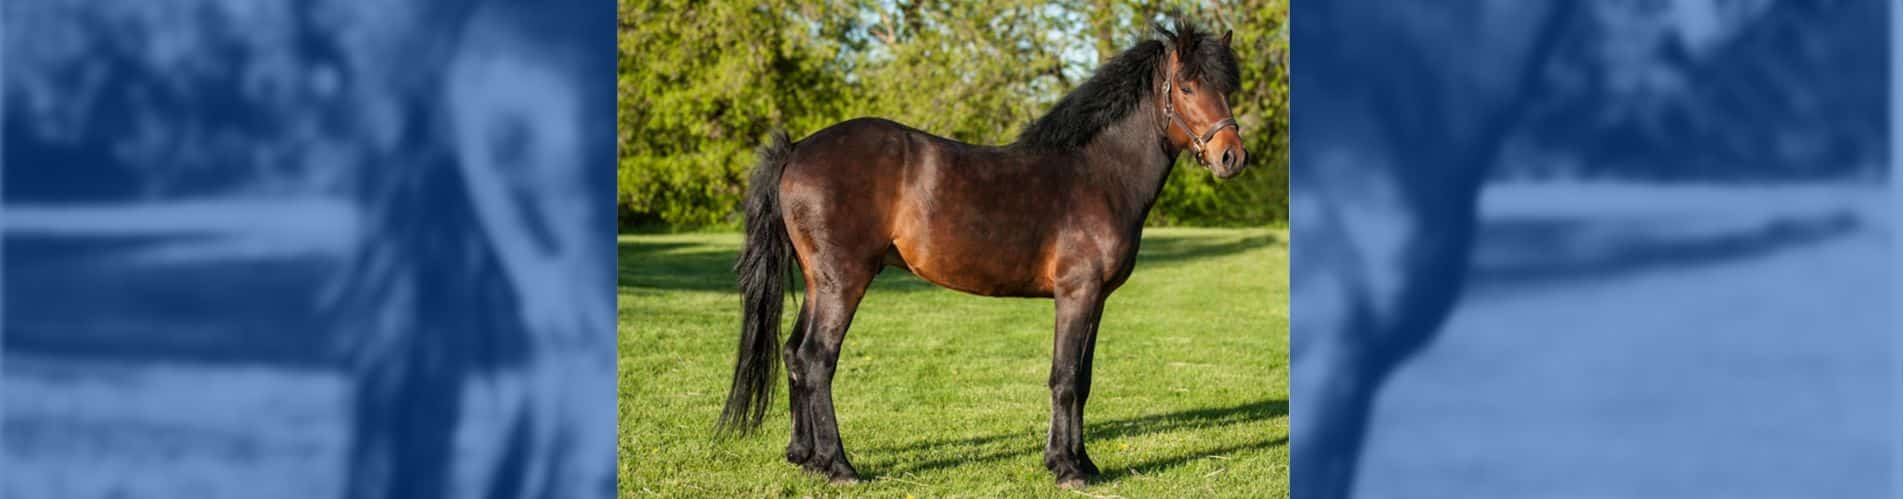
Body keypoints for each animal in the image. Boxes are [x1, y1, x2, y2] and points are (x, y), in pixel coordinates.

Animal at [715, 23, 1247, 489]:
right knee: (817, 358)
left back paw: (804, 458)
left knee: (792, 354)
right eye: (1187, 86)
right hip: (843, 282)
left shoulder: (1097, 300)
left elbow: (1083, 379)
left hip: (817, 282)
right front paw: (1067, 469)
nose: (1232, 157)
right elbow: (1064, 378)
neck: (1097, 173)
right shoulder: (1076, 293)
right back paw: (839, 466)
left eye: (1228, 87)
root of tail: (796, 149)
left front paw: (1081, 462)